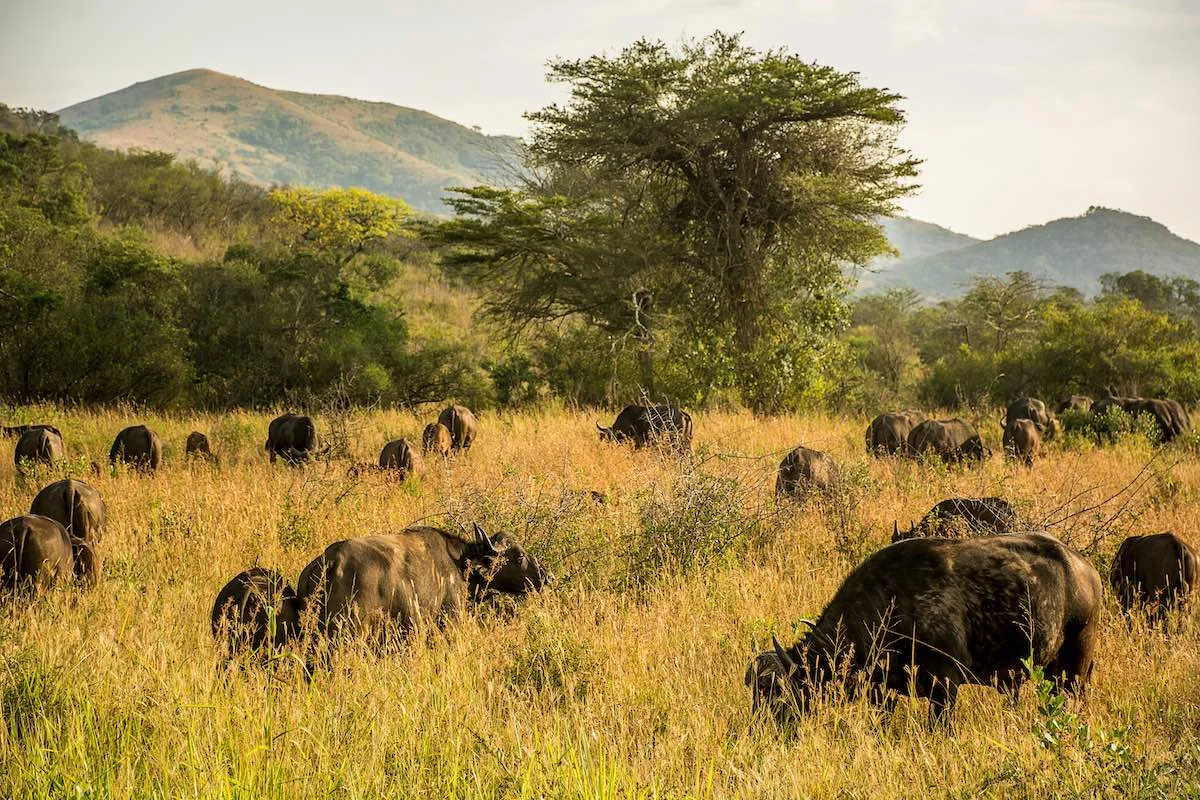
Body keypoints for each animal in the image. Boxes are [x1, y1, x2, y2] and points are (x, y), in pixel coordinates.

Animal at [753, 532, 1099, 724]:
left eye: (777, 691)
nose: (760, 727)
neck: (891, 604)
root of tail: (1087, 569)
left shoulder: (945, 686)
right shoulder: (882, 690)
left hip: (1075, 668)